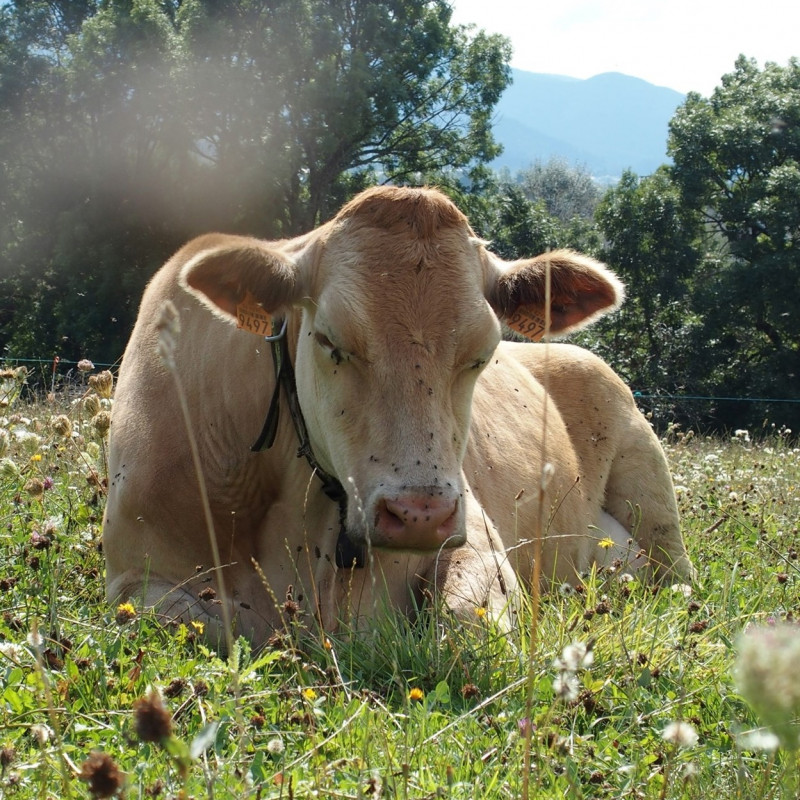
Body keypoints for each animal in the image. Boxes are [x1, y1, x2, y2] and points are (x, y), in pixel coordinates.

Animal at [103, 186, 693, 645]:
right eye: (329, 340)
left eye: (482, 352)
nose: (419, 515)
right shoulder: (130, 580)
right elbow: (184, 621)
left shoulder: (479, 542)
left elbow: (465, 620)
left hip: (653, 498)